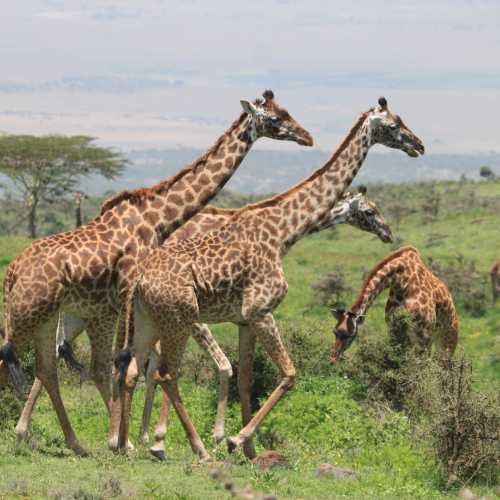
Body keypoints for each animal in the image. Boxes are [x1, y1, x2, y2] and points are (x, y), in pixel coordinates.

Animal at [0, 90, 312, 458]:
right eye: (275, 119)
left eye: (287, 111)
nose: (307, 137)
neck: (159, 217)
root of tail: (11, 271)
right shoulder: (128, 292)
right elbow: (124, 364)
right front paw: (126, 440)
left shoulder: (124, 302)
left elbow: (126, 364)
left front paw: (129, 438)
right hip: (30, 313)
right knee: (17, 359)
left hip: (49, 316)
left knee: (46, 368)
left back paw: (70, 442)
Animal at [114, 95, 426, 458]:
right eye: (393, 125)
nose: (419, 145)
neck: (283, 231)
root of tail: (139, 279)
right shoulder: (261, 311)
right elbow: (289, 373)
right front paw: (235, 439)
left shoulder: (244, 320)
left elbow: (246, 379)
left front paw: (249, 450)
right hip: (180, 318)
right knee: (163, 372)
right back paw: (187, 447)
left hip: (148, 320)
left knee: (131, 368)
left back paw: (125, 445)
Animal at [330, 244, 458, 362]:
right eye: (335, 332)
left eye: (350, 335)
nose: (333, 359)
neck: (402, 283)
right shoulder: (394, 329)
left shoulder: (424, 334)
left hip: (447, 339)